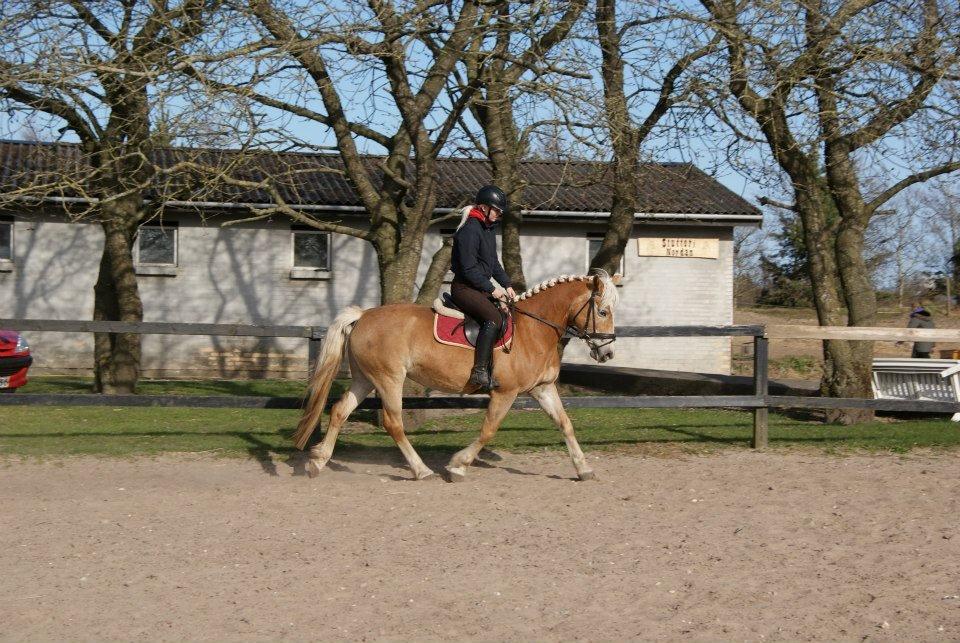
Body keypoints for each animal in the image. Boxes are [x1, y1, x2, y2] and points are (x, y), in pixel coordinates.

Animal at [292, 270, 620, 480]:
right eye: (602, 312)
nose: (607, 354)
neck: (534, 329)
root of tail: (363, 316)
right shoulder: (506, 393)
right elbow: (488, 430)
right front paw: (458, 466)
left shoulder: (543, 388)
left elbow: (566, 424)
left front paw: (583, 469)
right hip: (389, 379)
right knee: (393, 423)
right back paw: (421, 470)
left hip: (365, 379)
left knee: (339, 411)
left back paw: (317, 462)